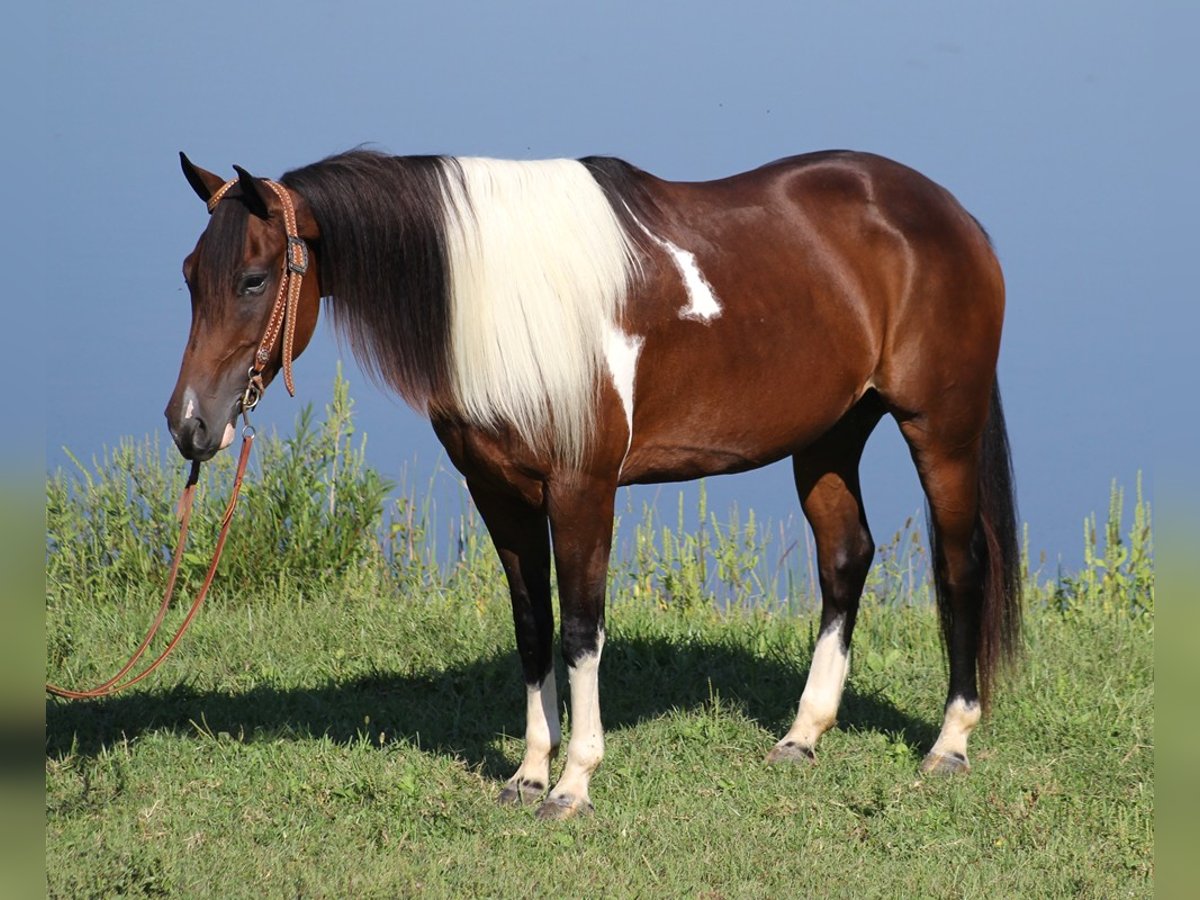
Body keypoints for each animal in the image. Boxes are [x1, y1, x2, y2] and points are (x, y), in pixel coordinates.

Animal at [164, 150, 1017, 825]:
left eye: (252, 278)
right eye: (189, 276)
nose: (189, 425)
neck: (504, 297)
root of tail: (949, 215)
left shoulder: (582, 489)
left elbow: (581, 631)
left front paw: (573, 784)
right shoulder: (500, 493)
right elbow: (533, 628)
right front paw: (527, 774)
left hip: (939, 429)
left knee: (959, 564)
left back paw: (949, 743)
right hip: (829, 437)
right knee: (846, 558)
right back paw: (801, 736)